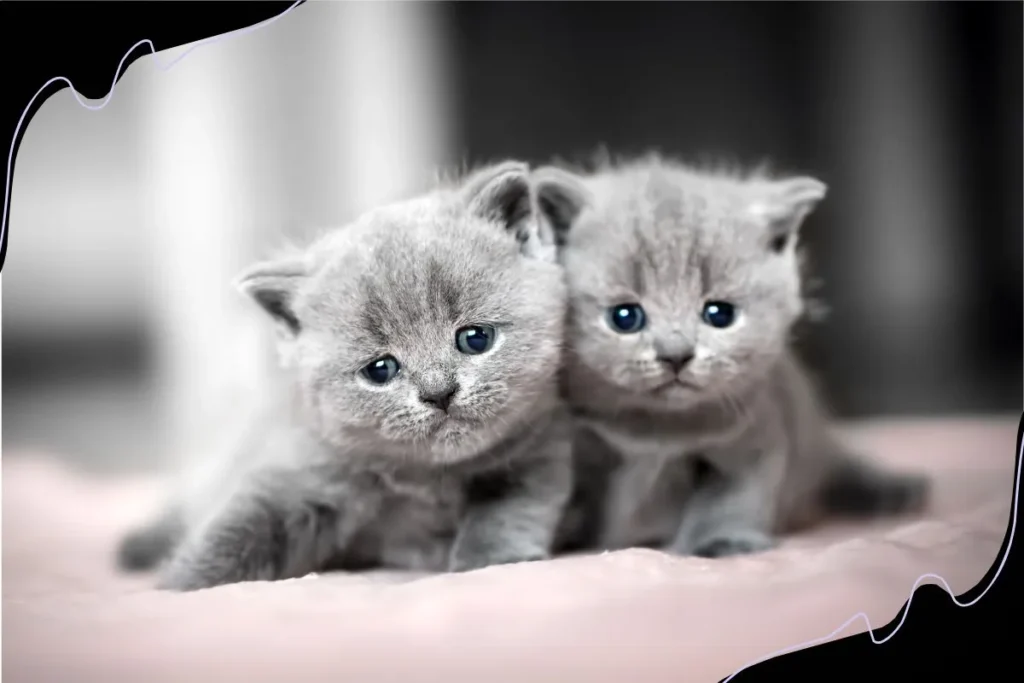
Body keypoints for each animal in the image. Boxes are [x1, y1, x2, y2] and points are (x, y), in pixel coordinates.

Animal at [117, 161, 577, 593]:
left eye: (476, 338)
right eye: (380, 369)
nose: (438, 391)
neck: (429, 480)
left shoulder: (539, 449)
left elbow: (510, 510)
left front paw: (491, 561)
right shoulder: (302, 468)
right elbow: (239, 527)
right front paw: (177, 586)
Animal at [532, 156, 933, 561]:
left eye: (719, 314)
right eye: (624, 317)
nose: (676, 354)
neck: (656, 432)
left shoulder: (755, 437)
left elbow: (733, 499)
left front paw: (723, 543)